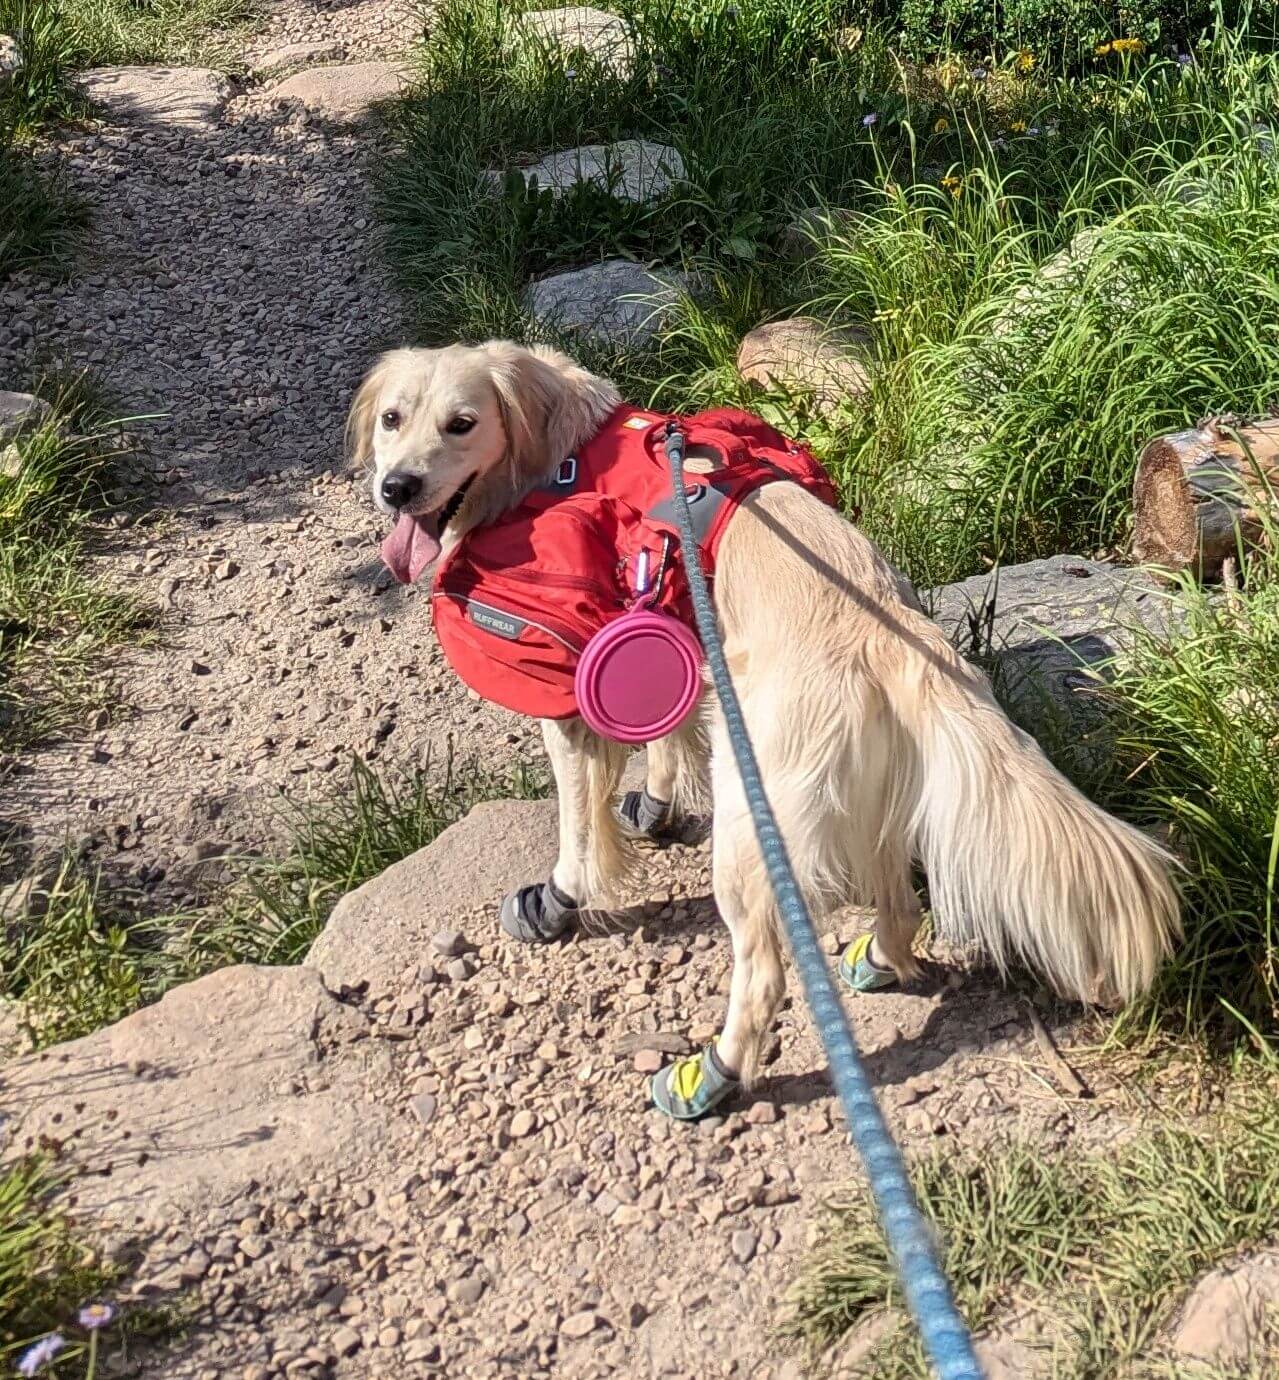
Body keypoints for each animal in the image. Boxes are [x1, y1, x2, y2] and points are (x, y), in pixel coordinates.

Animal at [347, 342, 1181, 1120]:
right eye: (392, 419)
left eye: (461, 423)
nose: (397, 487)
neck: (564, 453)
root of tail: (890, 632)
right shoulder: (669, 637)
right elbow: (663, 746)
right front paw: (655, 808)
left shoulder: (571, 697)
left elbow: (578, 831)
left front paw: (557, 900)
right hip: (866, 795)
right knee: (900, 901)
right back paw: (880, 959)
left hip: (753, 837)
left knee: (766, 975)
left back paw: (710, 1074)